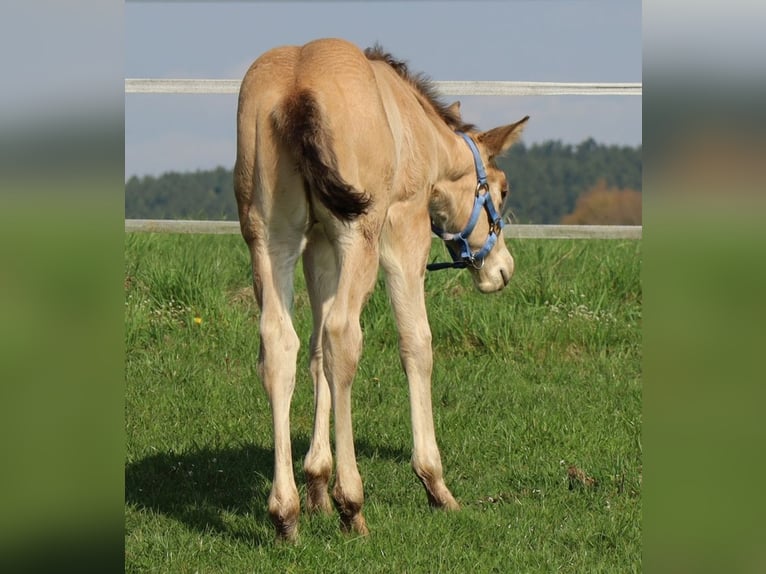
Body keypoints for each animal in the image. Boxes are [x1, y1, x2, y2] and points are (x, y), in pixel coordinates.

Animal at [234, 37, 528, 540]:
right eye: (503, 190)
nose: (502, 269)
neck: (415, 127)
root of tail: (296, 90)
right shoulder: (403, 229)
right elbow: (416, 343)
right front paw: (435, 484)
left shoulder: (318, 245)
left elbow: (315, 353)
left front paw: (317, 484)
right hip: (360, 235)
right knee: (343, 335)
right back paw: (352, 504)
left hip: (270, 239)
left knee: (280, 343)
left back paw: (286, 512)